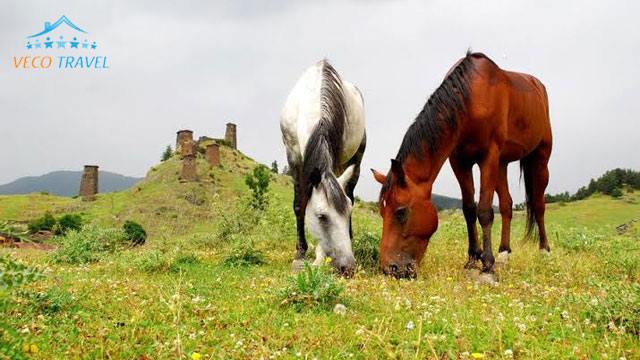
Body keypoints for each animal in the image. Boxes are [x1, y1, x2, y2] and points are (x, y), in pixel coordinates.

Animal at [280, 60, 364, 278]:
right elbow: (299, 204)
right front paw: (300, 252)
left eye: (348, 213)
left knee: (350, 191)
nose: (348, 267)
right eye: (322, 217)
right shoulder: (293, 156)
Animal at [372, 51, 552, 278]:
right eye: (381, 211)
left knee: (538, 204)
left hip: (540, 158)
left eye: (401, 212)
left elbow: (484, 211)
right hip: (502, 164)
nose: (390, 268)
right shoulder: (459, 162)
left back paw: (544, 251)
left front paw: (487, 264)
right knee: (507, 205)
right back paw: (504, 253)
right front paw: (472, 259)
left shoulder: (488, 157)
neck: (471, 98)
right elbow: (469, 209)